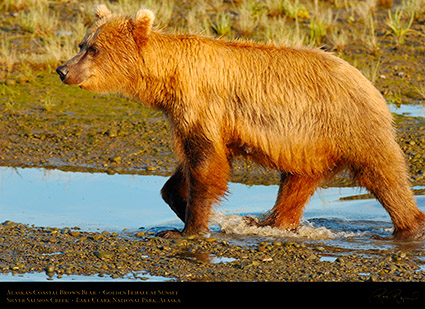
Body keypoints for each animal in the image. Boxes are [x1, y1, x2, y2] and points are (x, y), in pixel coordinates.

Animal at [57, 5, 424, 241]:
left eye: (94, 49)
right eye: (82, 43)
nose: (63, 69)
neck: (168, 79)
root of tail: (367, 81)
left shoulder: (202, 106)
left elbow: (207, 166)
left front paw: (189, 228)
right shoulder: (190, 117)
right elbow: (187, 167)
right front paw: (183, 205)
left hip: (350, 125)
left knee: (384, 174)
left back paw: (409, 224)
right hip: (307, 145)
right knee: (296, 183)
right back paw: (268, 223)